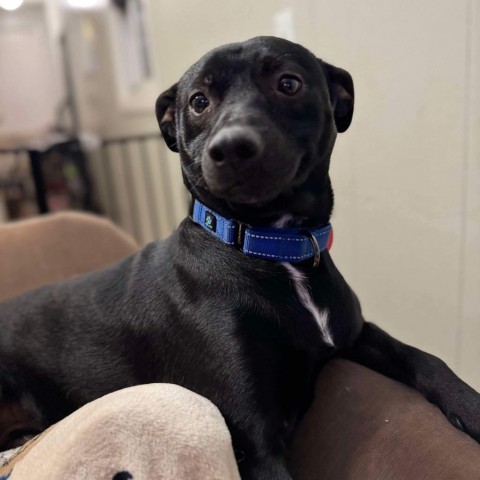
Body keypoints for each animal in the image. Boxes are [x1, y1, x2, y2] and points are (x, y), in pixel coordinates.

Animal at [0, 38, 480, 480]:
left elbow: (422, 357)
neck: (273, 247)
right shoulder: (254, 441)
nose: (231, 148)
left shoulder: (352, 335)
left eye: (288, 83)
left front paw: (470, 405)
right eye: (198, 101)